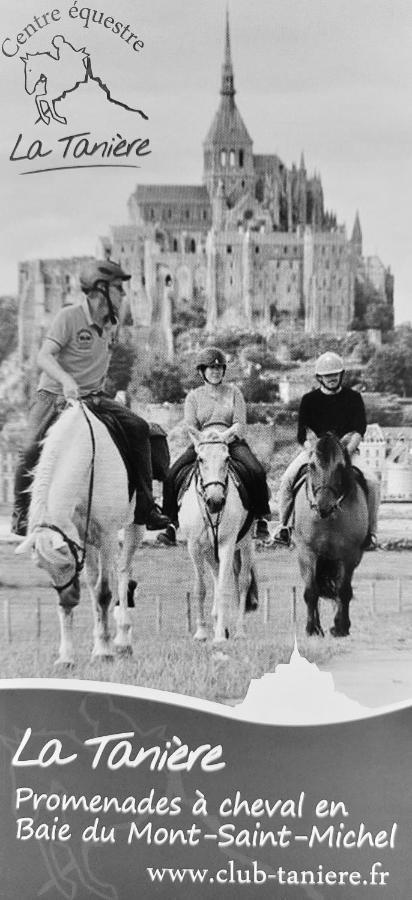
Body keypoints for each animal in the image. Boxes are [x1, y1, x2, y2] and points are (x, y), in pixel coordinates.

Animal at [15, 404, 143, 664]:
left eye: (67, 563)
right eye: (42, 567)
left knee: (123, 571)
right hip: (92, 541)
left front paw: (104, 652)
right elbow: (92, 589)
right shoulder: (86, 538)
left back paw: (122, 641)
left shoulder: (106, 534)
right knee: (97, 580)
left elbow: (104, 592)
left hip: (132, 526)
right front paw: (67, 656)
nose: (68, 600)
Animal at [179, 426, 258, 644]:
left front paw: (220, 636)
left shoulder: (227, 545)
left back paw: (238, 630)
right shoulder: (194, 547)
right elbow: (201, 588)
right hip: (209, 552)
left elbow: (224, 588)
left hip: (246, 544)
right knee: (215, 576)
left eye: (227, 459)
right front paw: (202, 632)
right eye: (200, 459)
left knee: (243, 581)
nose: (215, 501)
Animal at [294, 432, 368, 636]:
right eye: (311, 466)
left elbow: (343, 591)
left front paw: (340, 627)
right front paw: (312, 629)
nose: (324, 506)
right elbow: (311, 591)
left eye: (341, 467)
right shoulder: (307, 552)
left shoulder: (349, 555)